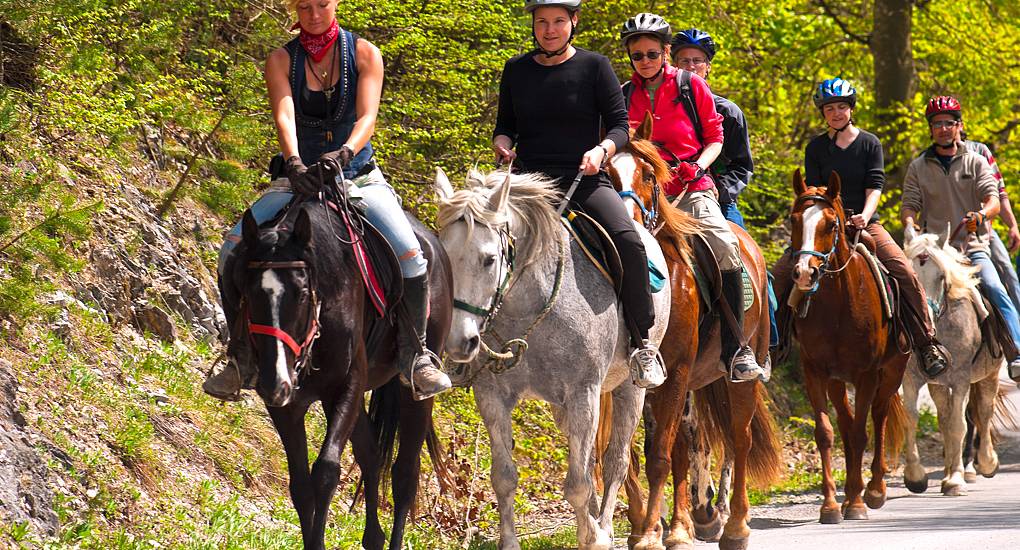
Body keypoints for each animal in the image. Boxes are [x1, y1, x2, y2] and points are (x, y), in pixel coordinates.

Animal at [222, 194, 452, 550]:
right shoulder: (287, 404)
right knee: (371, 454)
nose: (276, 382)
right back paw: (374, 538)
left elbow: (326, 473)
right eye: (246, 292)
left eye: (302, 293)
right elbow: (301, 486)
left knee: (404, 474)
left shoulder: (347, 385)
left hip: (413, 390)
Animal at [433, 167, 671, 550]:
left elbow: (578, 484)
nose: (460, 341)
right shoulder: (493, 396)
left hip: (629, 390)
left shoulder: (583, 393)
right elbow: (504, 477)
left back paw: (605, 525)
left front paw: (594, 537)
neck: (530, 308)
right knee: (590, 461)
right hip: (564, 409)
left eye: (489, 259)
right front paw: (510, 543)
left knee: (616, 461)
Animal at [604, 115, 781, 550]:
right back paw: (690, 521)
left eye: (649, 174)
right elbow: (635, 454)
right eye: (606, 174)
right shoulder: (639, 378)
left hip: (740, 374)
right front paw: (645, 527)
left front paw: (651, 534)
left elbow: (660, 456)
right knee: (689, 443)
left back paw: (734, 527)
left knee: (738, 439)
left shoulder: (677, 371)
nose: (627, 225)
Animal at [783, 170, 908, 524]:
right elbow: (827, 433)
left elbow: (860, 433)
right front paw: (829, 506)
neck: (838, 304)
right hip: (839, 381)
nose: (805, 273)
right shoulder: (815, 372)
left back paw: (875, 490)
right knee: (846, 420)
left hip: (891, 372)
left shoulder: (866, 374)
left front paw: (855, 503)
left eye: (830, 224)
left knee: (878, 416)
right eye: (794, 219)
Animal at [900, 226, 1005, 495]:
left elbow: (960, 424)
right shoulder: (911, 379)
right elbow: (912, 418)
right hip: (938, 385)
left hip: (989, 376)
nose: (923, 317)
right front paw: (915, 477)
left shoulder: (960, 381)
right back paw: (949, 471)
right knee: (945, 419)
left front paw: (956, 480)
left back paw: (985, 463)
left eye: (940, 276)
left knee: (983, 412)